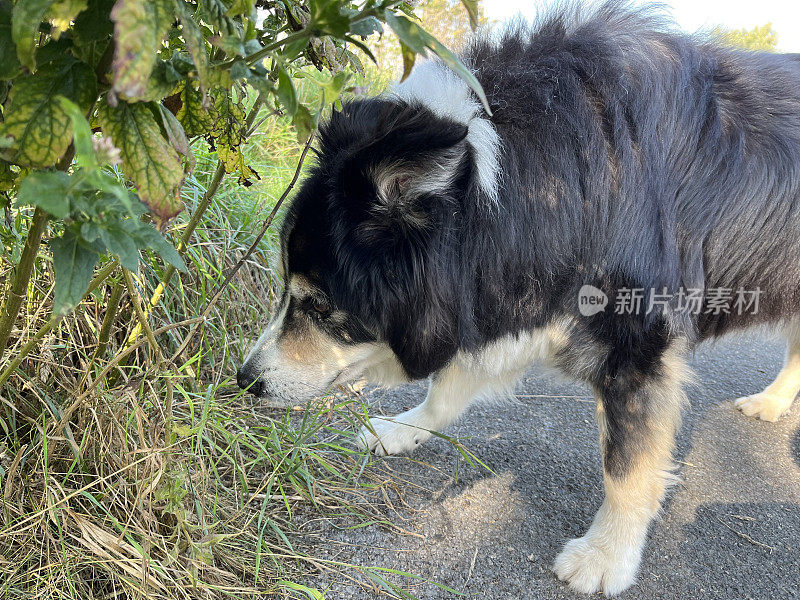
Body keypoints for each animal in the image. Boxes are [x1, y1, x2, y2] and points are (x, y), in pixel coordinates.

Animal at [238, 3, 800, 596]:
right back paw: (771, 403)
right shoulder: (505, 300)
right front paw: (402, 429)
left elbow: (627, 465)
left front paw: (606, 557)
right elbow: (449, 385)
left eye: (320, 305)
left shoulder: (638, 344)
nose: (245, 381)